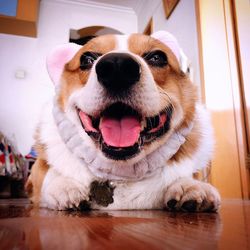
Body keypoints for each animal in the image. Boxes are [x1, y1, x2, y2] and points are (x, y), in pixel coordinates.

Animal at [25, 30, 221, 212]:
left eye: (157, 57)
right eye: (86, 59)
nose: (117, 67)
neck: (121, 172)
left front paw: (190, 186)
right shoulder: (39, 171)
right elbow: (49, 175)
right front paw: (65, 186)